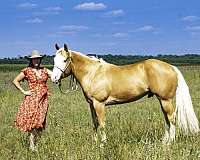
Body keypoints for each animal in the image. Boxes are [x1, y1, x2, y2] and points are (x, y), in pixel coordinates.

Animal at [50, 43, 199, 144]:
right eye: (54, 60)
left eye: (65, 60)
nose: (54, 78)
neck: (93, 73)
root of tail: (171, 67)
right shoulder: (92, 104)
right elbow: (95, 123)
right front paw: (95, 142)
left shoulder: (99, 104)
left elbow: (102, 123)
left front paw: (103, 144)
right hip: (162, 101)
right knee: (167, 120)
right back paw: (164, 141)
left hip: (165, 100)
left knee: (172, 119)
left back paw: (170, 143)